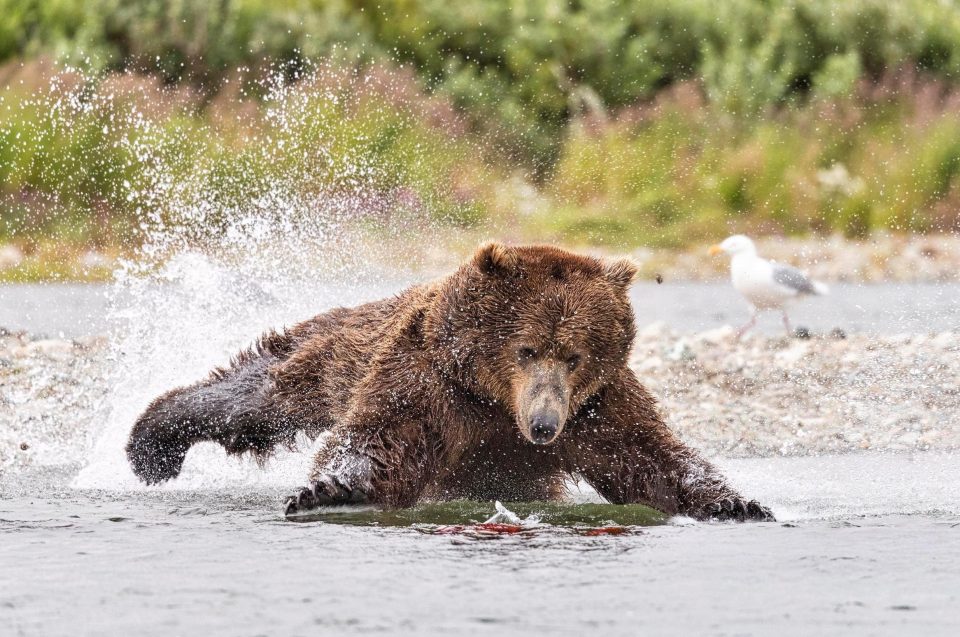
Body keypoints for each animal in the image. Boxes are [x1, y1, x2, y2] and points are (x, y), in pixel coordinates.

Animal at [127, 241, 772, 520]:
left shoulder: (597, 405)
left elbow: (649, 454)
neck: (495, 400)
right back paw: (151, 444)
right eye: (526, 348)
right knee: (257, 394)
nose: (544, 426)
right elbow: (381, 437)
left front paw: (736, 501)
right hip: (336, 351)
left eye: (574, 355)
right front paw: (325, 489)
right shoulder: (432, 381)